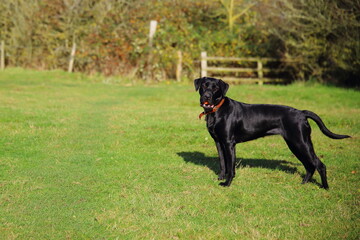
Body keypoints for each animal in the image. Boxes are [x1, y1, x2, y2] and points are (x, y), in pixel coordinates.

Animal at [195, 76, 350, 188]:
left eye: (216, 88)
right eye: (204, 86)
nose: (206, 96)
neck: (217, 111)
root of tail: (301, 113)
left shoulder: (229, 143)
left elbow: (231, 167)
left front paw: (227, 183)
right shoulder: (218, 142)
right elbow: (222, 163)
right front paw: (220, 177)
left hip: (301, 143)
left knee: (319, 165)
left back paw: (325, 187)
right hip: (295, 144)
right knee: (310, 166)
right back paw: (303, 183)